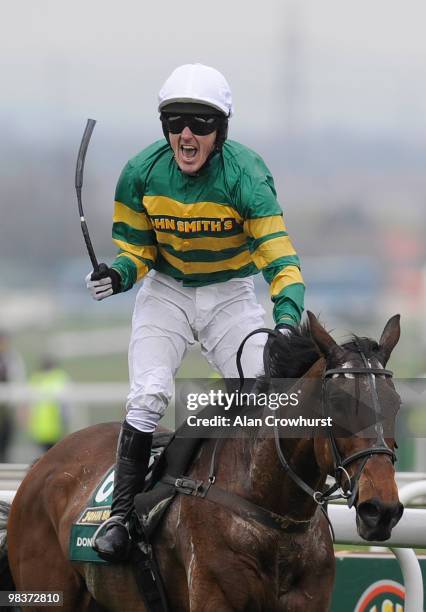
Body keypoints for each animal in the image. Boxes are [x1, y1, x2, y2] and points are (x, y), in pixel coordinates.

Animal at [2, 314, 402, 608]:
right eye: (337, 403)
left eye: (396, 403)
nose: (381, 510)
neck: (270, 511)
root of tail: (42, 463)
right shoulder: (215, 596)